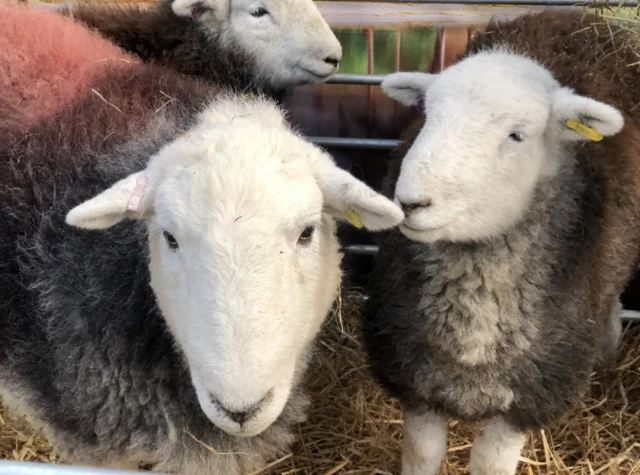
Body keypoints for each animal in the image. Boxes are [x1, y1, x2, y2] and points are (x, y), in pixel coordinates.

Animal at [361, 12, 640, 475]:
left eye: (517, 135)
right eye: (427, 116)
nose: (411, 201)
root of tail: (576, 16)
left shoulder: (525, 398)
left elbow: (490, 466)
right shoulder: (416, 379)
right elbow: (421, 454)